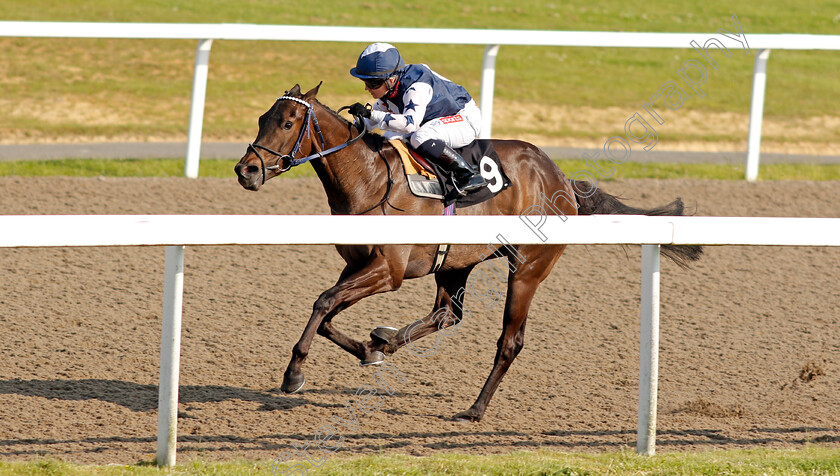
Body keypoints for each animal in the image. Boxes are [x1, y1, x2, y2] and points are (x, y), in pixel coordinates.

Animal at [233, 83, 700, 422]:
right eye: (261, 118)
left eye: (288, 122)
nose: (245, 170)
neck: (369, 178)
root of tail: (562, 178)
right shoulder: (360, 264)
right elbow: (328, 312)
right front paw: (369, 349)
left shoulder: (388, 270)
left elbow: (323, 301)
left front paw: (294, 374)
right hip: (455, 261)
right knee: (446, 314)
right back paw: (388, 340)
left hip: (527, 267)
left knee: (509, 341)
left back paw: (474, 409)